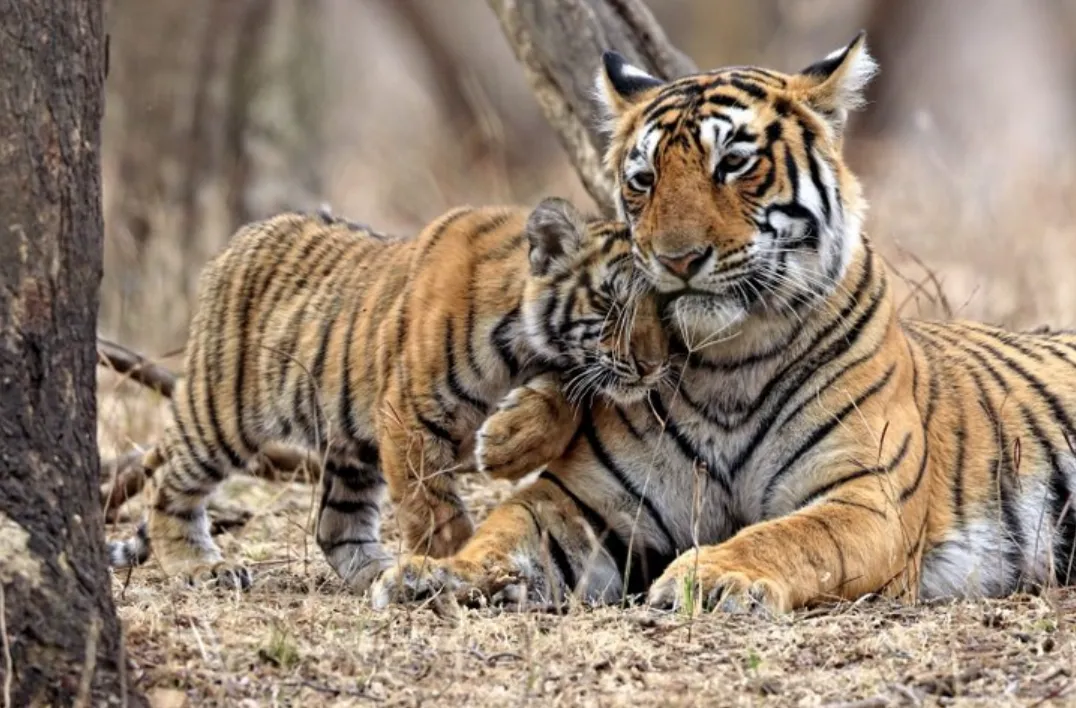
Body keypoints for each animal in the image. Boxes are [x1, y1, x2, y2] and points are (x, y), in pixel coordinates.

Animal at [106, 198, 670, 592]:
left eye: (664, 308)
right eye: (611, 302)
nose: (654, 366)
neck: (523, 348)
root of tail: (239, 237)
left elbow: (567, 396)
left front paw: (508, 446)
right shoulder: (411, 414)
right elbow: (434, 507)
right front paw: (448, 565)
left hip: (351, 444)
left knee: (336, 524)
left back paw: (376, 571)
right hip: (221, 412)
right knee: (169, 485)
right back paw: (198, 566)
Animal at [371, 32, 1076, 614]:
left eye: (733, 163)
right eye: (644, 178)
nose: (678, 259)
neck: (729, 361)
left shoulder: (862, 495)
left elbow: (791, 537)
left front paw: (708, 576)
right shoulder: (588, 502)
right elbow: (506, 530)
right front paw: (431, 572)